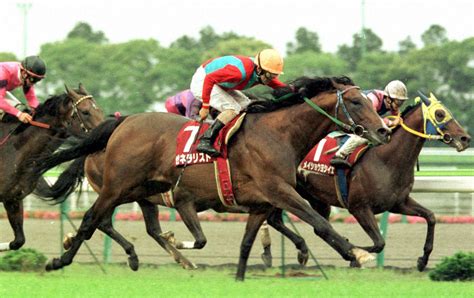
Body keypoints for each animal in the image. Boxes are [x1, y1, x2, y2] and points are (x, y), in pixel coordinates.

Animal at [34, 75, 392, 280]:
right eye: (356, 101)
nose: (384, 131)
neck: (279, 134)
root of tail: (124, 121)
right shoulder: (279, 190)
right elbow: (318, 222)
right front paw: (355, 252)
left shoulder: (261, 203)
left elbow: (248, 241)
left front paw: (241, 277)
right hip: (116, 186)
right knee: (92, 219)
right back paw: (60, 260)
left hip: (141, 191)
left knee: (125, 225)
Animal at [276, 92, 468, 272]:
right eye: (440, 114)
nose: (465, 138)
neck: (386, 161)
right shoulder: (359, 207)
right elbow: (379, 243)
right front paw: (355, 254)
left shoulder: (398, 203)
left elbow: (431, 217)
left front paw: (423, 260)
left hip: (311, 197)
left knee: (290, 222)